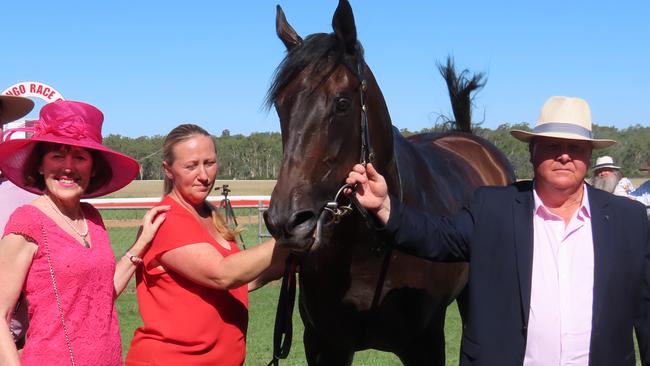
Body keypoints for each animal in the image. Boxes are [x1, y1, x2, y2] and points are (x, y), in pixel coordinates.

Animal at [262, 1, 512, 364]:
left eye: (342, 102)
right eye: (281, 104)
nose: (286, 222)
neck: (370, 247)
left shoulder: (426, 343)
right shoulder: (324, 344)